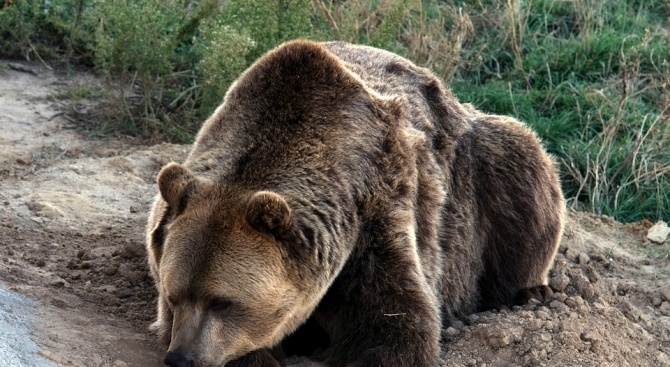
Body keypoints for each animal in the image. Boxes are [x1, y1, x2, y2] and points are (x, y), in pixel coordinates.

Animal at [146, 40, 568, 367]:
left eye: (222, 302)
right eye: (173, 295)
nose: (181, 358)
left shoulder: (375, 216)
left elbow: (394, 324)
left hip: (481, 172)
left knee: (523, 165)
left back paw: (531, 291)